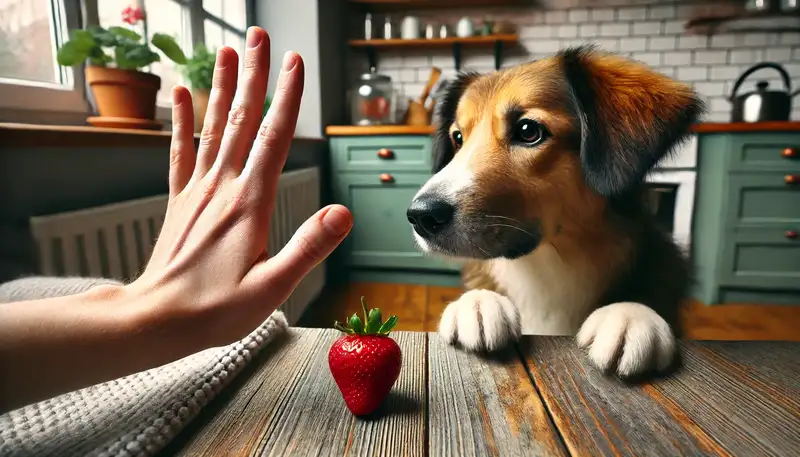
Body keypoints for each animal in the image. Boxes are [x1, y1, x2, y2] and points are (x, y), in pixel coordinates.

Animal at [410, 44, 704, 376]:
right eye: (458, 138)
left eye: (528, 130)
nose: (420, 216)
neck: (549, 263)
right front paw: (478, 303)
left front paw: (631, 314)